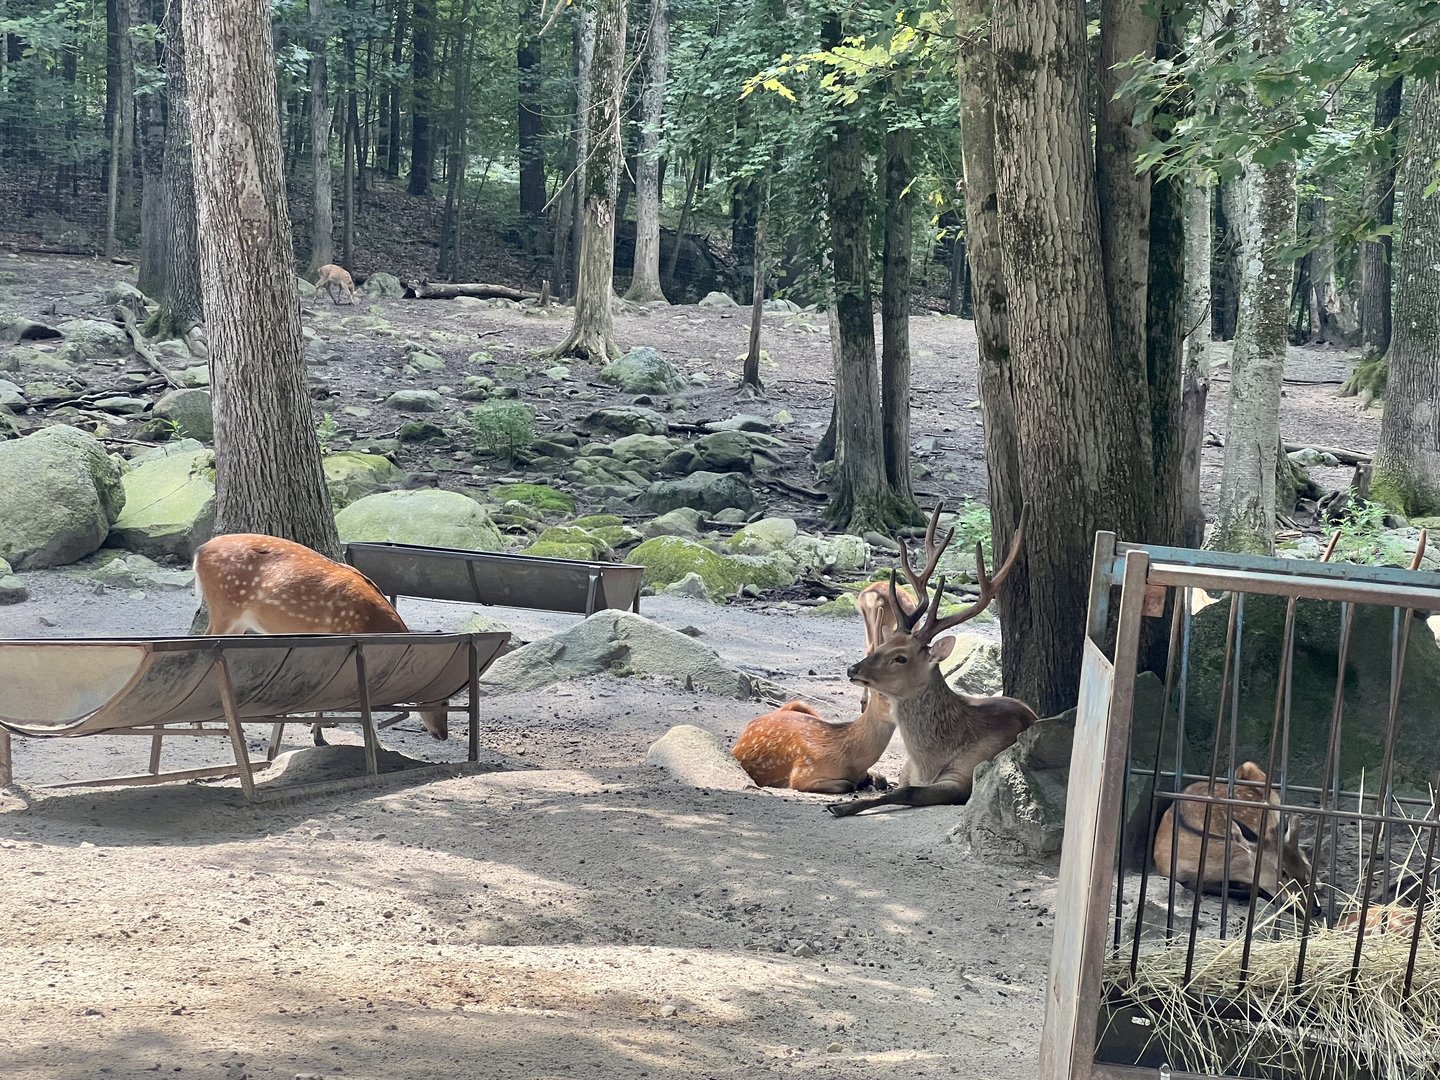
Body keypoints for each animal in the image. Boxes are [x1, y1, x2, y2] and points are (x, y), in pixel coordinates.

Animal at [191, 532, 448, 745]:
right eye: (439, 699)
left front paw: (318, 734)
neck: (369, 624)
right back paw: (199, 723)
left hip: (239, 620)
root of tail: (199, 551)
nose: (442, 734)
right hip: (225, 608)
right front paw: (376, 744)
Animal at [827, 503, 1039, 817]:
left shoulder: (965, 777)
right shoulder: (905, 770)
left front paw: (841, 806)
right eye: (885, 644)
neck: (927, 764)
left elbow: (907, 792)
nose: (853, 669)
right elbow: (893, 784)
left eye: (900, 657)